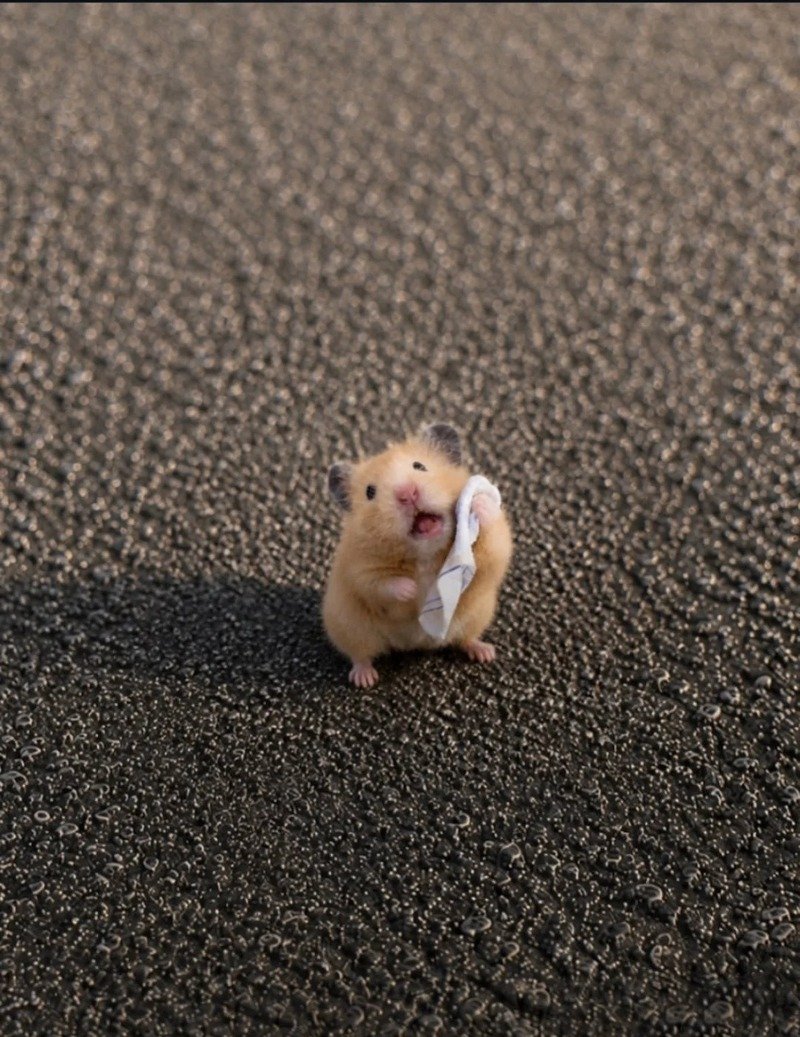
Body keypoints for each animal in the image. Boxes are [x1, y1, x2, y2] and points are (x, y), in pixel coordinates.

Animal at [323, 423, 513, 688]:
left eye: (420, 466)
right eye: (370, 492)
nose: (407, 493)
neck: (425, 554)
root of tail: (413, 644)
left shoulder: (493, 551)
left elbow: (493, 547)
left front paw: (480, 504)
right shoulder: (358, 567)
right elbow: (379, 584)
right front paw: (411, 589)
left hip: (478, 615)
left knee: (466, 639)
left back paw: (485, 653)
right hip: (349, 625)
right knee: (360, 654)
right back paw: (364, 679)